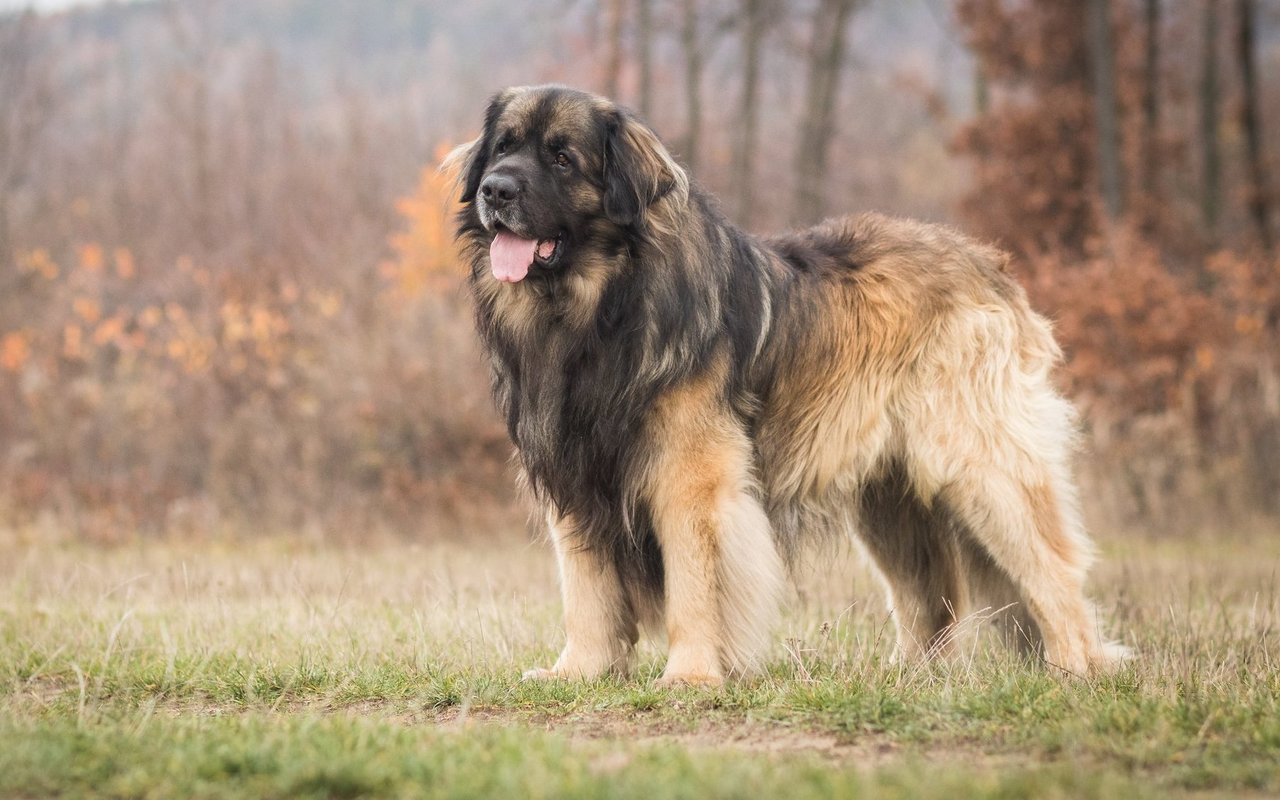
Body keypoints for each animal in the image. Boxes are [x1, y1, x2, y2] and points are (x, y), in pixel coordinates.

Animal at [445, 84, 1126, 680]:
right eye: (503, 147)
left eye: (562, 157)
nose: (495, 190)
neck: (598, 309)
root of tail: (990, 264)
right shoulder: (575, 477)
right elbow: (587, 590)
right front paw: (579, 672)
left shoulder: (691, 480)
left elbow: (694, 582)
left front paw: (691, 675)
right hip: (890, 499)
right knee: (931, 595)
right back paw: (911, 678)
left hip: (982, 467)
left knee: (1050, 569)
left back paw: (1074, 667)